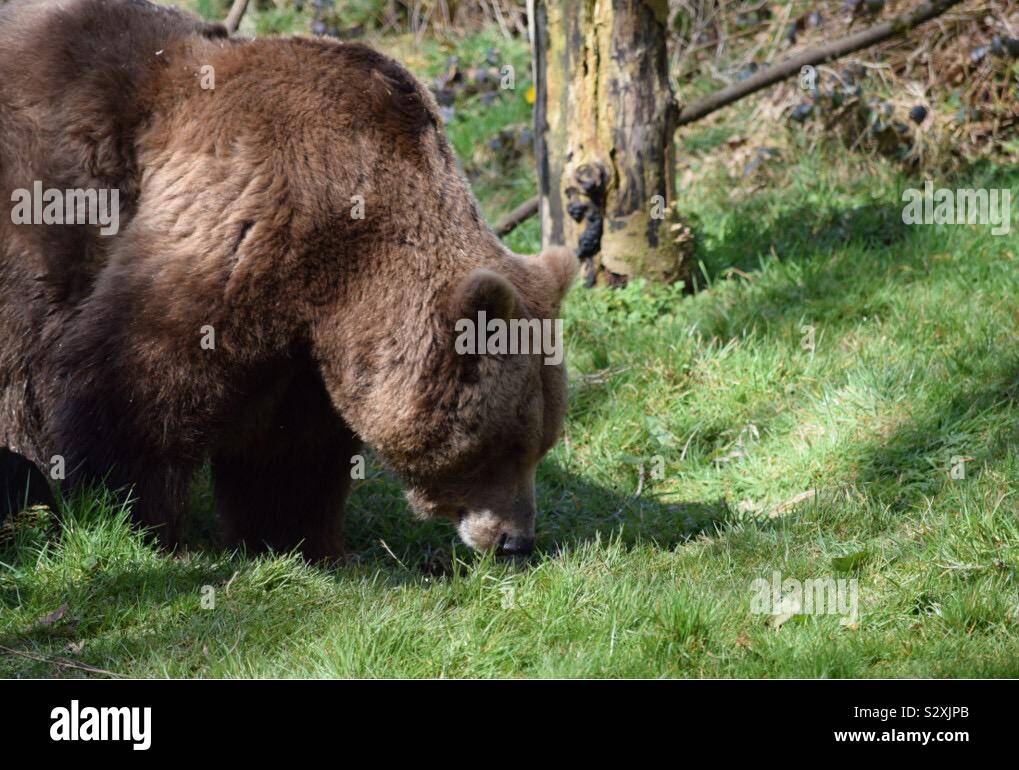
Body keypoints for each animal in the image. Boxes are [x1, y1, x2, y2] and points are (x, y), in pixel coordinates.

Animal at [0, 0, 574, 558]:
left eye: (543, 442)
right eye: (505, 445)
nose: (517, 540)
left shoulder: (315, 336)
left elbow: (291, 446)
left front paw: (291, 537)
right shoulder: (242, 219)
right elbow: (136, 381)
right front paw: (135, 517)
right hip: (47, 189)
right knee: (26, 344)